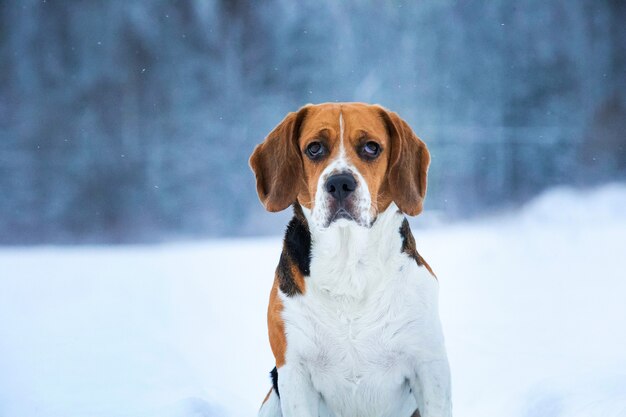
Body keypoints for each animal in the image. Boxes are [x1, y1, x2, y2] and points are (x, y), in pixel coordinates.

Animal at [249, 101, 448, 416]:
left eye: (371, 147)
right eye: (314, 148)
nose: (340, 183)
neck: (349, 265)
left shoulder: (429, 365)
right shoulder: (294, 371)